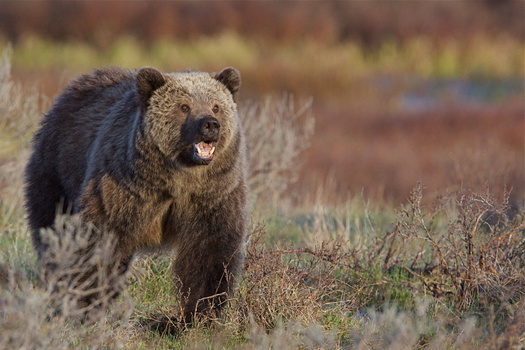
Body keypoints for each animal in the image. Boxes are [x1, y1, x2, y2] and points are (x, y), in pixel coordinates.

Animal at [23, 65, 248, 322]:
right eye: (184, 106)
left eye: (216, 106)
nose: (210, 124)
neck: (176, 179)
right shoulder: (123, 189)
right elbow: (100, 240)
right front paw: (86, 303)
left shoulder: (213, 195)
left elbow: (210, 251)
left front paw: (197, 313)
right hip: (57, 171)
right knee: (52, 227)